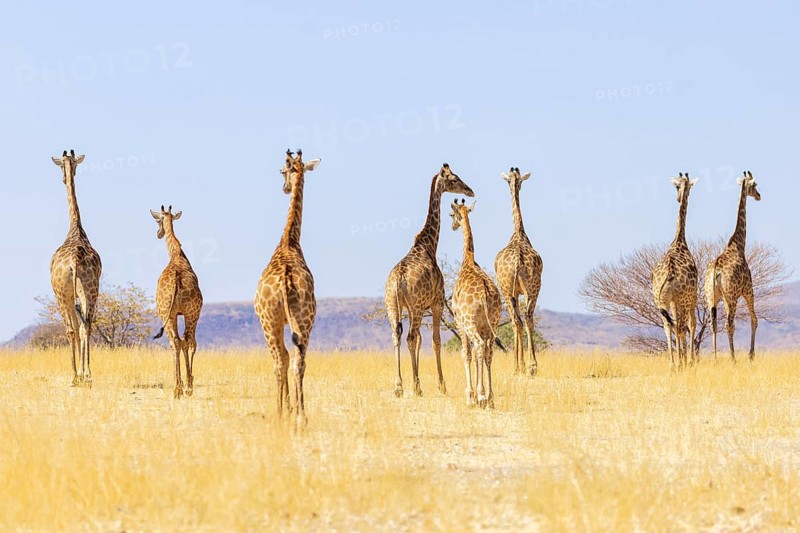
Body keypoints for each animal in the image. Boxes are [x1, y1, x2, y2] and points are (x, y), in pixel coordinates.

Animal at [150, 205, 204, 398]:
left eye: (158, 220)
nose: (159, 233)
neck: (176, 254)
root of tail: (177, 281)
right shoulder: (186, 313)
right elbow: (187, 343)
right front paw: (188, 383)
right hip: (189, 313)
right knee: (186, 341)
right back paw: (184, 387)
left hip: (170, 314)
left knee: (178, 341)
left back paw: (179, 388)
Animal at [384, 163, 474, 398]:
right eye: (454, 179)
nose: (470, 190)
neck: (428, 245)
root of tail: (398, 280)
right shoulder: (437, 303)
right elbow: (435, 341)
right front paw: (442, 385)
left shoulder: (414, 307)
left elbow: (421, 341)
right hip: (416, 308)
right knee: (409, 337)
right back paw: (416, 387)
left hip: (392, 306)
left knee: (397, 337)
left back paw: (399, 386)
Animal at [450, 199, 503, 408]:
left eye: (451, 214)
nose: (453, 226)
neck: (469, 260)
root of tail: (485, 295)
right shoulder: (483, 326)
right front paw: (482, 396)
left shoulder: (459, 321)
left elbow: (466, 354)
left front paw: (470, 396)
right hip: (492, 323)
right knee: (489, 351)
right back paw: (490, 397)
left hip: (470, 323)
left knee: (479, 347)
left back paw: (480, 396)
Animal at [704, 171, 762, 362]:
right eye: (755, 185)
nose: (759, 196)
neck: (738, 244)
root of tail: (716, 271)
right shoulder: (748, 289)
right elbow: (754, 319)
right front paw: (751, 355)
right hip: (731, 297)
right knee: (729, 323)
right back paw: (733, 358)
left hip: (711, 297)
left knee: (714, 323)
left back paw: (715, 358)